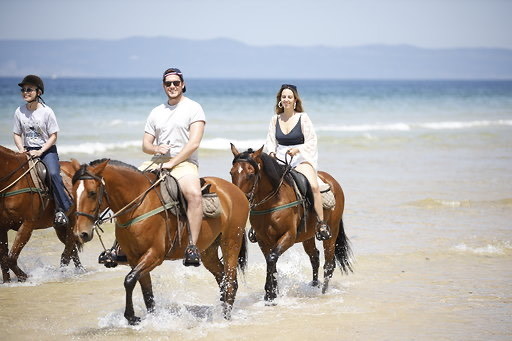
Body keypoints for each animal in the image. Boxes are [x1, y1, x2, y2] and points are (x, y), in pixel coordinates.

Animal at [0, 145, 82, 282]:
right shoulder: (2, 228)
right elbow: (4, 260)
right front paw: (8, 282)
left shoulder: (27, 224)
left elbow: (10, 259)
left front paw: (24, 277)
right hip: (60, 227)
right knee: (72, 250)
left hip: (72, 221)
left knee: (68, 251)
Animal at [71, 158, 248, 322]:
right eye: (73, 193)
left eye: (92, 193)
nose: (81, 233)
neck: (139, 206)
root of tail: (236, 191)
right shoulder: (135, 258)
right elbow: (146, 292)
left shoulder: (154, 255)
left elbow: (129, 280)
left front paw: (131, 316)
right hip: (208, 251)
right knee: (222, 278)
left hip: (230, 241)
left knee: (230, 281)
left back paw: (225, 317)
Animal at [230, 143, 350, 300]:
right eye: (232, 172)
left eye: (251, 173)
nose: (239, 199)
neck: (273, 202)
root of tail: (333, 181)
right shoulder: (263, 239)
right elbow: (270, 260)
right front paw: (272, 292)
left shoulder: (288, 236)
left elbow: (272, 258)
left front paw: (270, 294)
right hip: (308, 236)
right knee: (314, 257)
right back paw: (314, 285)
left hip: (332, 232)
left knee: (329, 264)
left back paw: (323, 292)